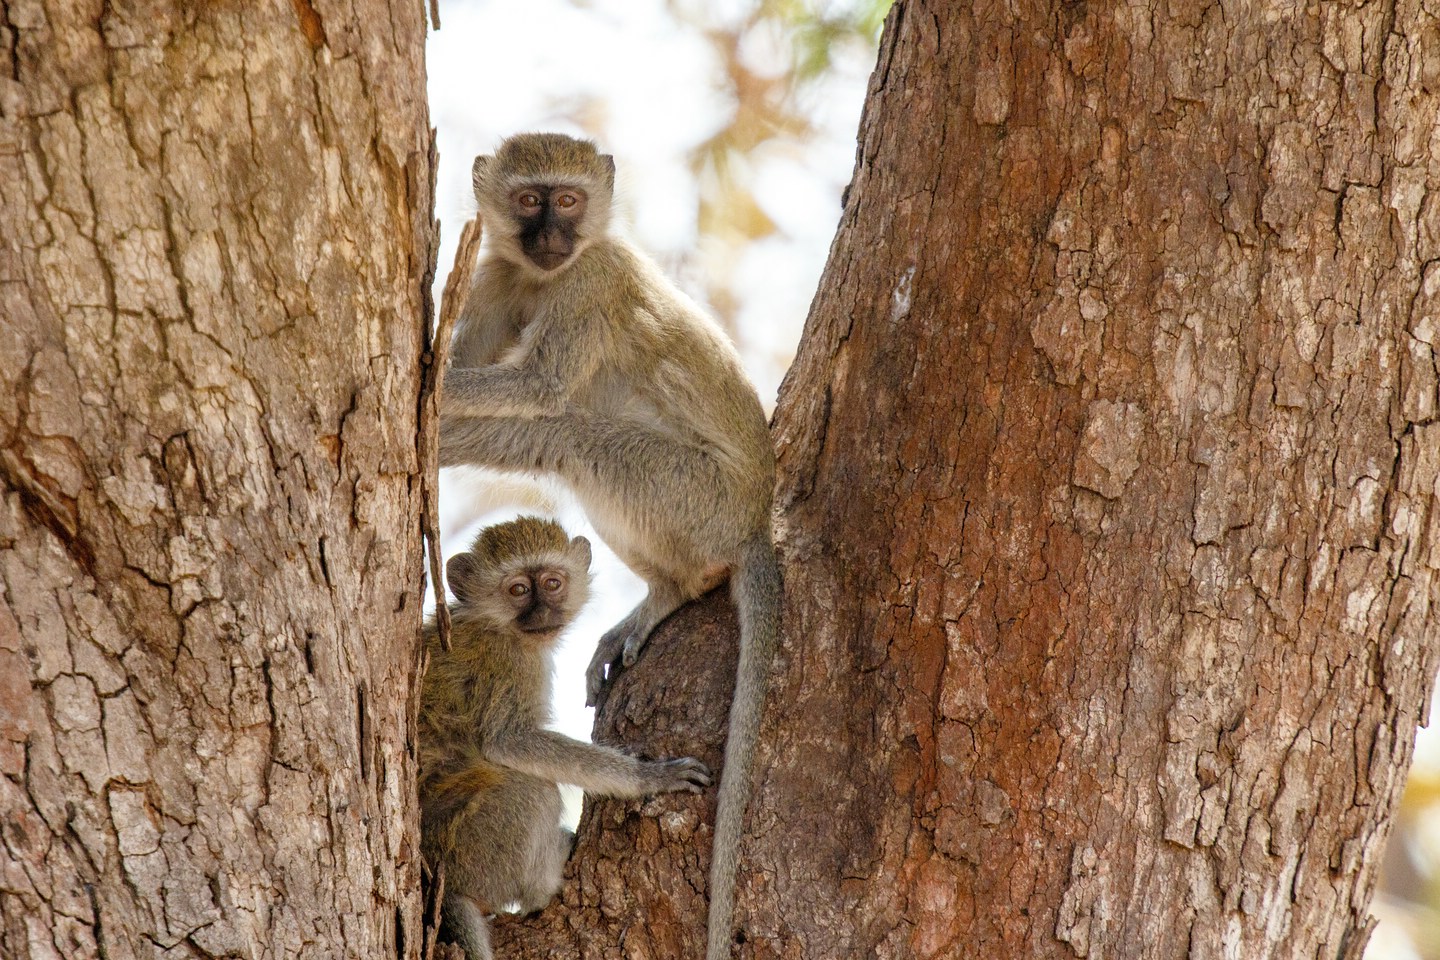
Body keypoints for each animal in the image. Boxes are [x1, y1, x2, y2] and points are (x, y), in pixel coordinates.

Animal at [417, 518, 708, 960]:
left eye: (553, 583)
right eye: (518, 590)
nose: (543, 612)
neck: (494, 624)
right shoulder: (510, 665)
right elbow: (509, 742)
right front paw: (648, 778)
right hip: (469, 850)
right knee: (532, 790)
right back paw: (545, 881)